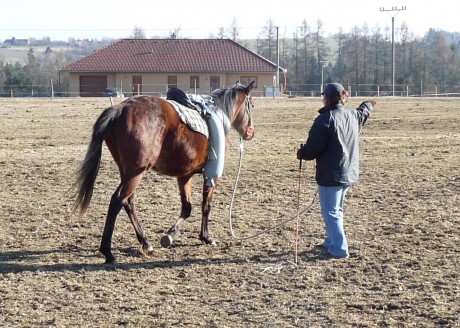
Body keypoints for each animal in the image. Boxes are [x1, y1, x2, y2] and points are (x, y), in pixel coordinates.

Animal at [73, 82, 256, 264]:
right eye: (251, 105)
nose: (250, 132)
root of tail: (121, 107)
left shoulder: (184, 176)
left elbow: (187, 207)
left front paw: (171, 235)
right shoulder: (211, 176)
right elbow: (206, 205)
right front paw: (205, 237)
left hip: (127, 171)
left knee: (128, 201)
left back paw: (145, 242)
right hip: (136, 172)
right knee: (117, 200)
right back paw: (108, 253)